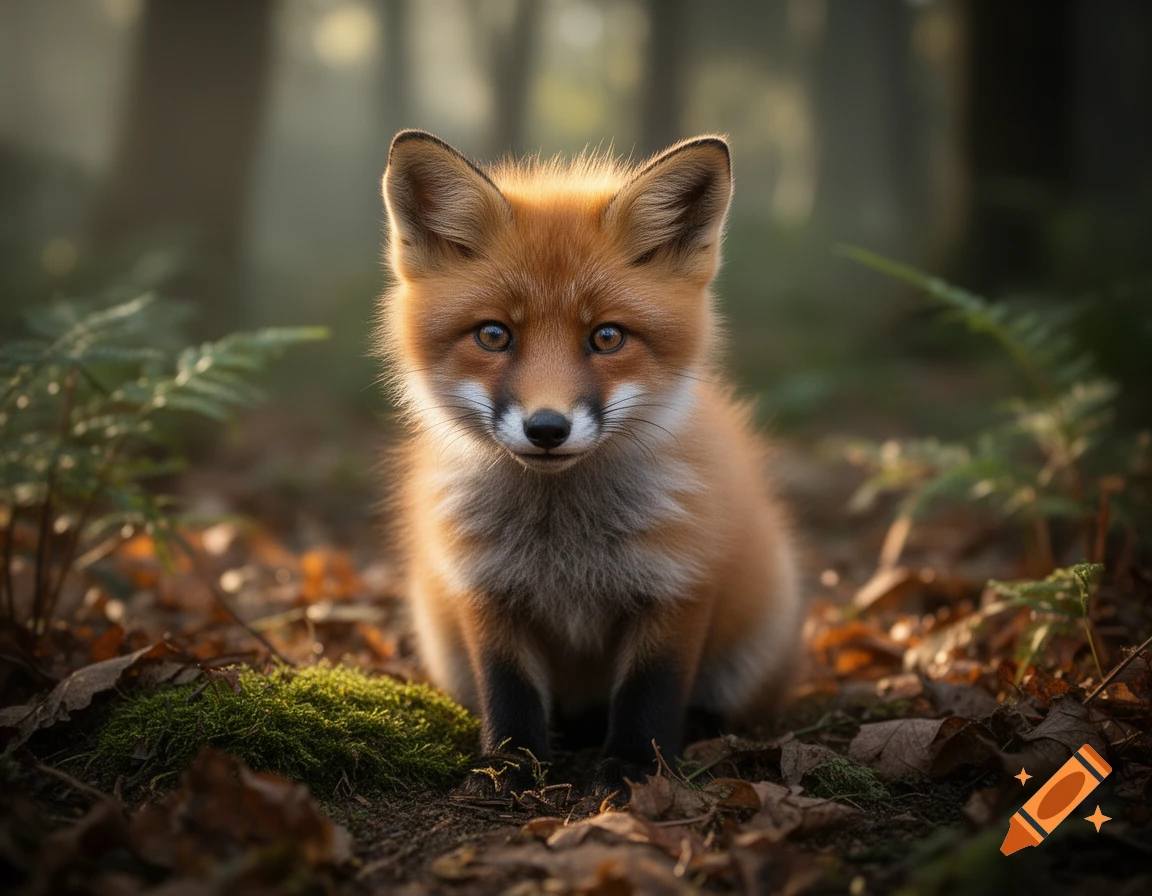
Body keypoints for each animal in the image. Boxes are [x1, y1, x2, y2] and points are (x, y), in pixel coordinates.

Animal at [377, 129, 804, 796]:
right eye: (494, 335)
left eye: (607, 337)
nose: (547, 428)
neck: (564, 540)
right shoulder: (484, 584)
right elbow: (508, 690)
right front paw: (511, 765)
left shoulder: (678, 580)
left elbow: (650, 692)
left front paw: (634, 766)